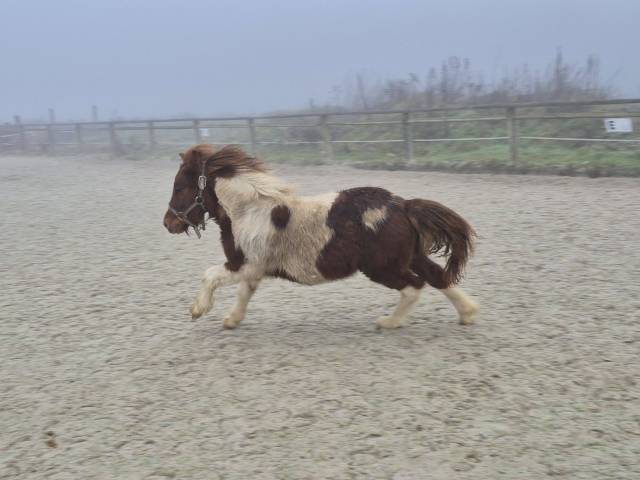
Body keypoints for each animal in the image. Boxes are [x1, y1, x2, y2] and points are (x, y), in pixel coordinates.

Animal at [163, 144, 479, 330]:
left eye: (179, 187)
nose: (168, 223)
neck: (249, 210)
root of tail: (403, 205)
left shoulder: (244, 264)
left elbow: (210, 275)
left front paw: (198, 309)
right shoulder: (253, 268)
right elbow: (244, 292)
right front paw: (231, 319)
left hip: (381, 267)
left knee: (415, 286)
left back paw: (390, 322)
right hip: (409, 256)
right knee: (439, 276)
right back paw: (468, 313)